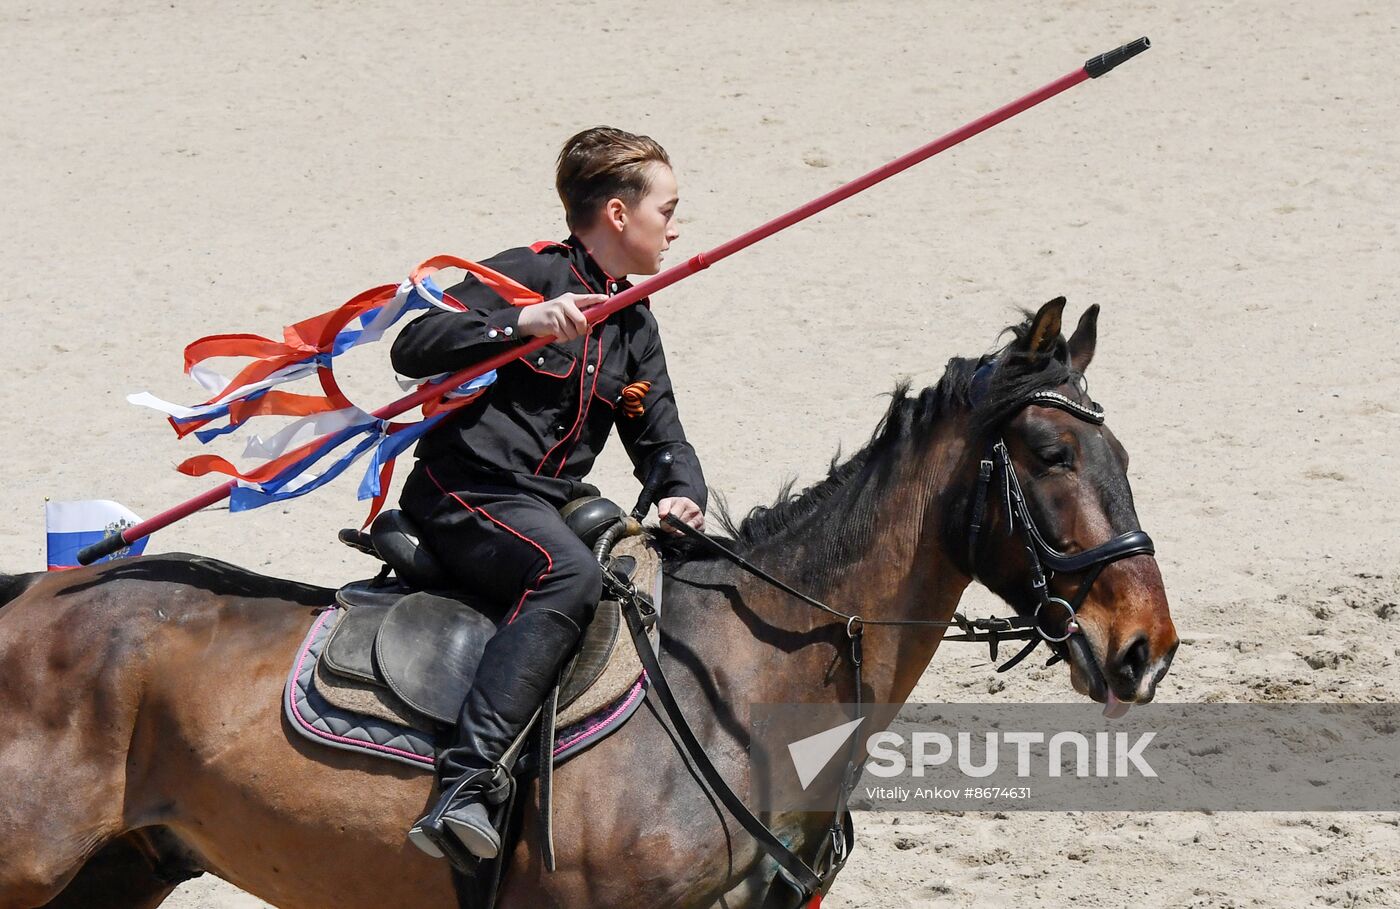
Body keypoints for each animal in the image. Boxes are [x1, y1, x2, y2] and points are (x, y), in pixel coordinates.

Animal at [0, 299, 1176, 907]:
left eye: (1124, 454)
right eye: (1050, 453)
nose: (1143, 649)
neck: (743, 686)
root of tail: (33, 594)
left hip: (119, 871)